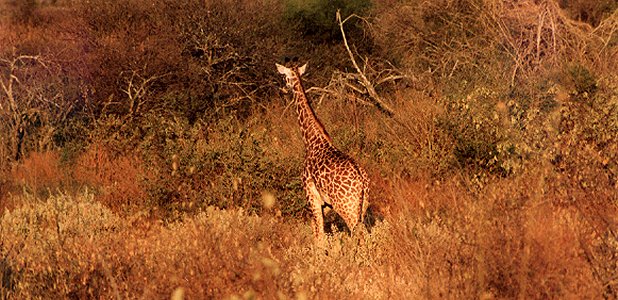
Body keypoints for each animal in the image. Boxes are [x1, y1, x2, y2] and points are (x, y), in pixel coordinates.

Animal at [276, 62, 368, 241]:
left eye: (284, 77)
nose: (282, 89)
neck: (311, 141)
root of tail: (362, 182)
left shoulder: (311, 195)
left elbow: (320, 237)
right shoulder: (326, 204)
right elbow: (317, 231)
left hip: (348, 208)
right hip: (363, 207)